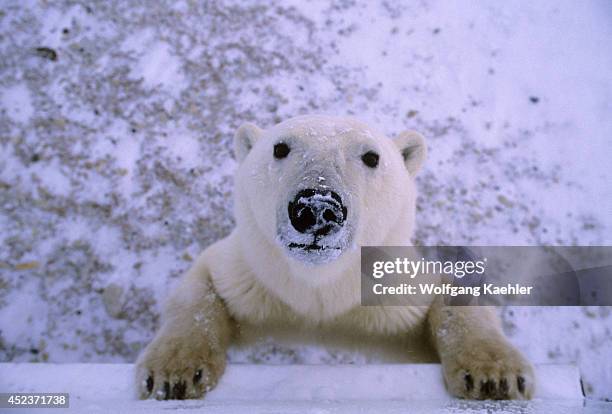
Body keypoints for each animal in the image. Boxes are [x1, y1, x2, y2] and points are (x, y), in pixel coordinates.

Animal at [136, 115, 532, 400]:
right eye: (280, 148)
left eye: (371, 156)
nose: (316, 208)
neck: (321, 285)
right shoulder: (253, 276)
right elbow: (200, 290)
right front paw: (174, 373)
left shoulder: (389, 292)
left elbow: (453, 293)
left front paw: (494, 376)